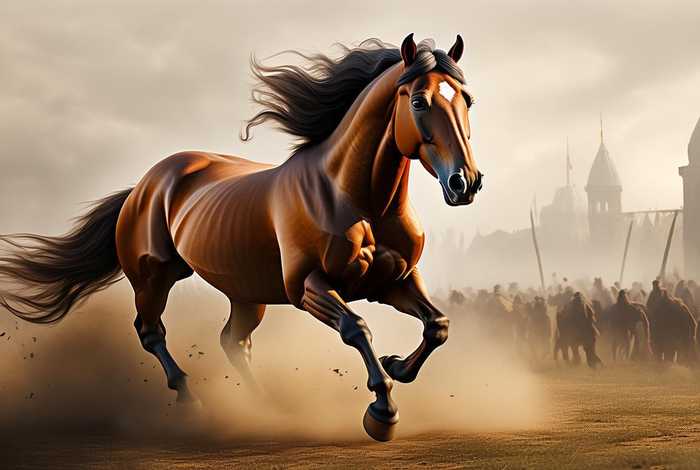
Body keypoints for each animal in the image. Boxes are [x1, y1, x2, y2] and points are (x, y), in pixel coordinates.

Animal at [0, 34, 482, 441]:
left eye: (468, 100)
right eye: (418, 101)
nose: (465, 183)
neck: (357, 199)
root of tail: (142, 187)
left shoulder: (393, 281)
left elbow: (437, 325)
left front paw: (396, 366)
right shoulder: (308, 287)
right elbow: (356, 327)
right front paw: (382, 413)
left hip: (247, 295)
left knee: (234, 342)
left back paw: (267, 409)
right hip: (154, 278)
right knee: (151, 331)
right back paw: (191, 400)